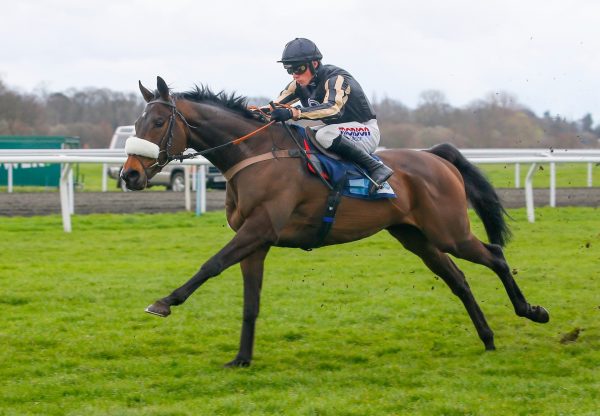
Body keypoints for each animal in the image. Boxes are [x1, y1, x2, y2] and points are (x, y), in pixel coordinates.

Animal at [122, 76, 548, 366]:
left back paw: (531, 312)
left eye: (157, 123)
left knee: (494, 255)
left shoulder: (259, 229)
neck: (256, 154)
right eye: (137, 123)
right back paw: (488, 337)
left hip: (449, 231)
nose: (128, 175)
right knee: (458, 280)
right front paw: (242, 359)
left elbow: (210, 265)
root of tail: (435, 155)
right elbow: (250, 301)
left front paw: (164, 302)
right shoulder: (256, 242)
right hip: (416, 237)